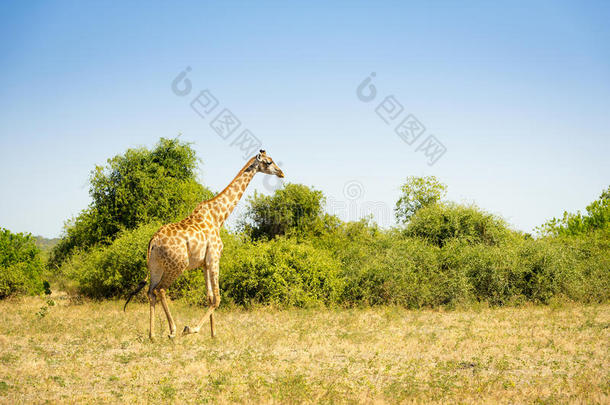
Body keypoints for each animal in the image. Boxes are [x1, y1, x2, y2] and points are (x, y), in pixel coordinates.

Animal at [125, 148, 284, 338]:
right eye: (268, 162)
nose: (281, 173)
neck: (219, 216)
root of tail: (152, 241)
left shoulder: (204, 264)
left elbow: (209, 297)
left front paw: (213, 334)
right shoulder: (214, 258)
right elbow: (217, 299)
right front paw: (191, 329)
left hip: (156, 266)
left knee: (150, 291)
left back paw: (152, 335)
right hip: (177, 264)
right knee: (161, 289)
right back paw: (172, 330)